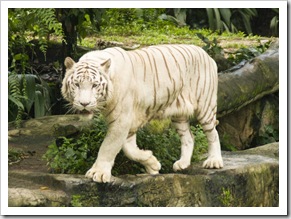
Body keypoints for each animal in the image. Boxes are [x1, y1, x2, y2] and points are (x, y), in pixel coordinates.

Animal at [62, 43, 224, 182]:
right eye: (77, 84)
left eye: (95, 85)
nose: (84, 104)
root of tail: (207, 55)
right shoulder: (128, 123)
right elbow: (129, 149)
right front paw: (153, 164)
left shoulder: (121, 120)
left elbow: (108, 146)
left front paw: (99, 173)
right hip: (179, 113)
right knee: (189, 137)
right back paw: (182, 163)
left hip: (205, 106)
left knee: (213, 133)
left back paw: (214, 161)